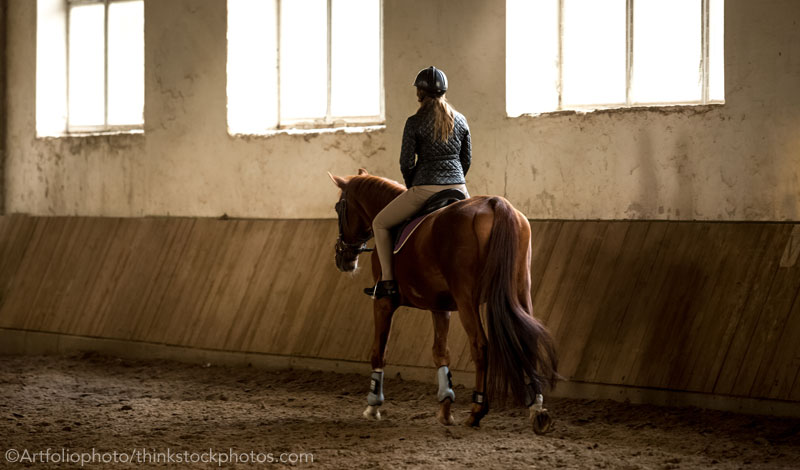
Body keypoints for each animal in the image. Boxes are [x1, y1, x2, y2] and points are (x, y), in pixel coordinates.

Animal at [328, 170, 560, 434]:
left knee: (480, 345)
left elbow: (379, 351)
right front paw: (446, 409)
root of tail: (496, 204)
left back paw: (477, 410)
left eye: (339, 207)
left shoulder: (383, 303)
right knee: (527, 339)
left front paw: (373, 406)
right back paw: (537, 409)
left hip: (467, 299)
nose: (342, 258)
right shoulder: (440, 307)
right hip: (519, 292)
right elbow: (441, 353)